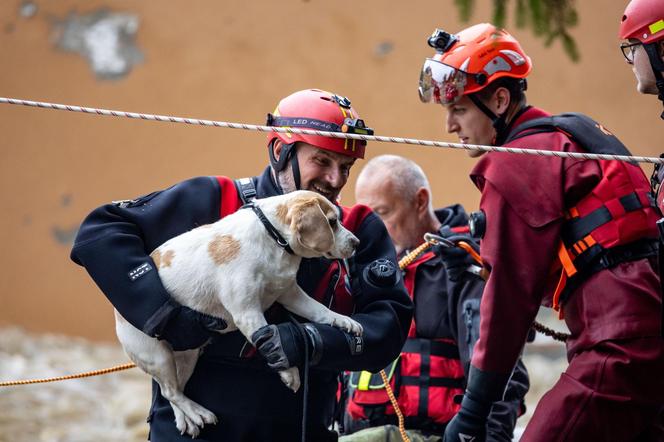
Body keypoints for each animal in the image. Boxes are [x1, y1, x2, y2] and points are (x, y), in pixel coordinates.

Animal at [114, 189, 364, 436]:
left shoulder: (290, 294)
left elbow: (320, 311)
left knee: (176, 391)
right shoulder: (247, 311)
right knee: (170, 391)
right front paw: (290, 373)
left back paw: (188, 419)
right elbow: (268, 338)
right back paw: (198, 413)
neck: (273, 239)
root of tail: (118, 314)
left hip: (188, 357)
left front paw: (343, 321)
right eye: (332, 222)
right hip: (158, 356)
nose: (357, 242)